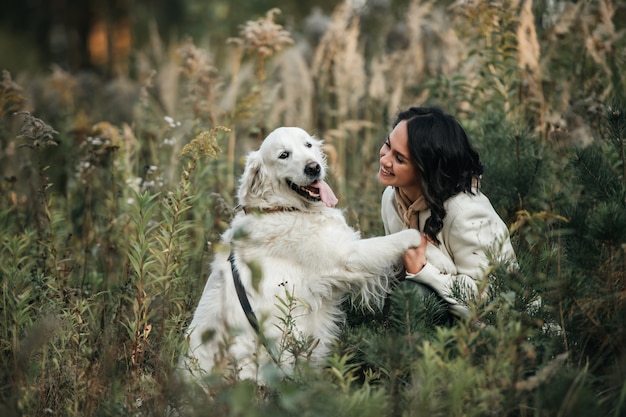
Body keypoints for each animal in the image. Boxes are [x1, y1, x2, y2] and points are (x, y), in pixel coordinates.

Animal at [183, 126, 422, 380]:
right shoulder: (348, 257)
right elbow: (389, 242)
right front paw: (417, 236)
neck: (280, 209)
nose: (313, 167)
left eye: (308, 145)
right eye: (283, 155)